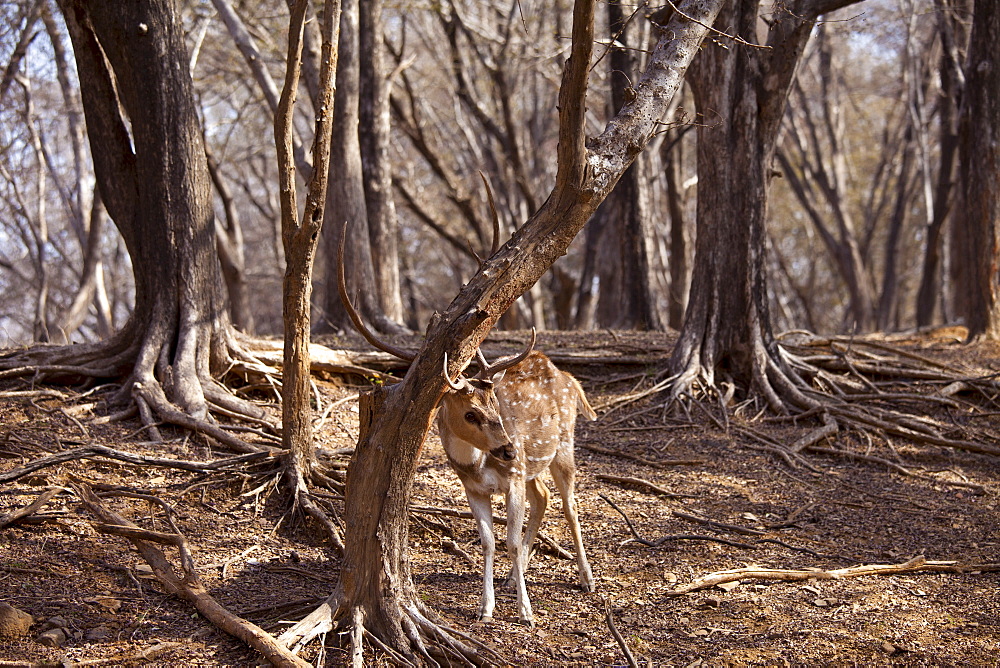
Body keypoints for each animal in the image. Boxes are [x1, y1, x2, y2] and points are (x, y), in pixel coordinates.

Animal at [340, 235, 596, 628]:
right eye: (470, 413)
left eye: (495, 403)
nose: (508, 449)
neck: (475, 465)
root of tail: (570, 378)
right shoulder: (473, 489)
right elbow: (489, 542)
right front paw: (486, 608)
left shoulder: (512, 478)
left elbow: (510, 541)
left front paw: (525, 612)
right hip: (534, 465)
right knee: (543, 496)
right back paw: (513, 577)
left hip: (563, 446)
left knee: (569, 505)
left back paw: (586, 579)